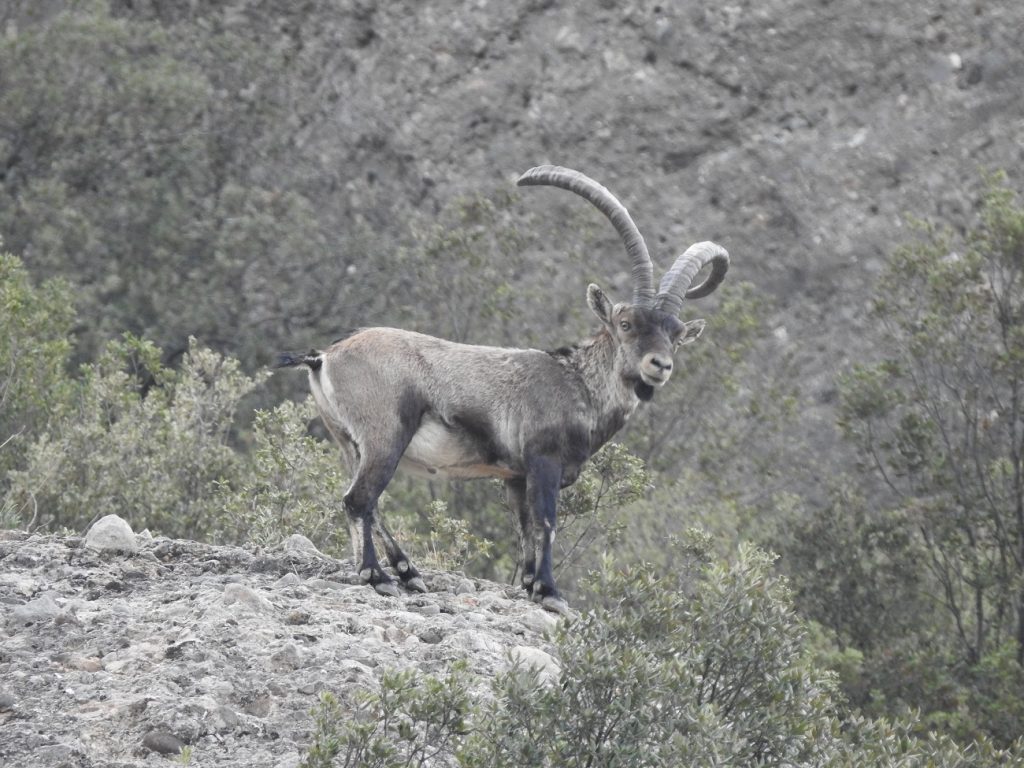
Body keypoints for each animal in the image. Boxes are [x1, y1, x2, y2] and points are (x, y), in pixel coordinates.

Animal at [276, 165, 728, 613]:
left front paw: (529, 583)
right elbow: (546, 522)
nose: (660, 365)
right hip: (385, 435)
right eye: (626, 323)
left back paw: (408, 572)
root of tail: (325, 357)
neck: (579, 383)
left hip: (348, 442)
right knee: (359, 499)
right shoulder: (544, 461)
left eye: (675, 335)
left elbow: (525, 526)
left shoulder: (516, 476)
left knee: (368, 501)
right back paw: (378, 576)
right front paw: (550, 592)